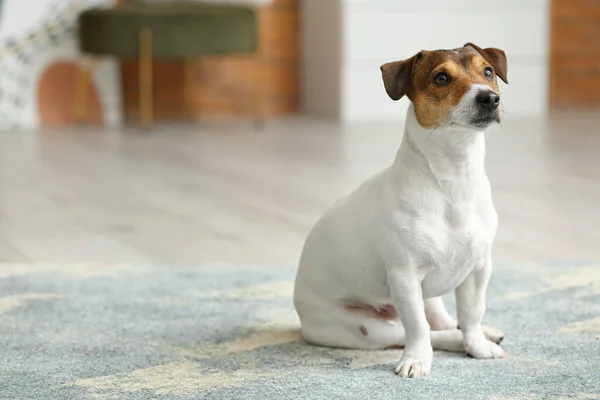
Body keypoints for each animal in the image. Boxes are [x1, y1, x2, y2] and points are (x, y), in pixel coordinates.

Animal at [292, 43, 508, 378]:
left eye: (488, 72)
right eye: (441, 78)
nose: (489, 98)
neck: (453, 180)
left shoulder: (478, 268)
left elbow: (471, 313)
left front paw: (478, 346)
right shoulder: (405, 276)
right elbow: (418, 328)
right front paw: (416, 360)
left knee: (443, 318)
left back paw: (482, 332)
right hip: (363, 329)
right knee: (421, 331)